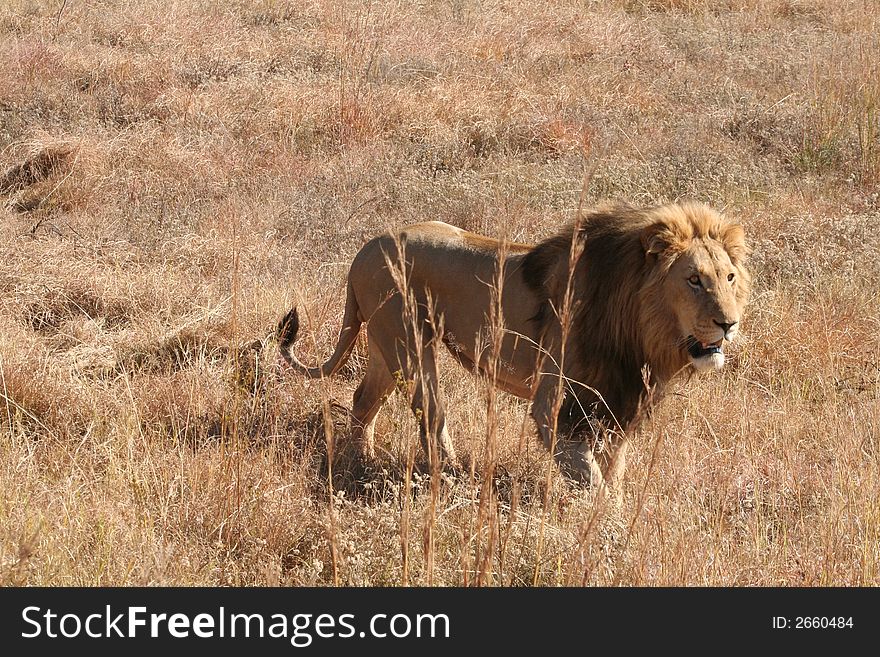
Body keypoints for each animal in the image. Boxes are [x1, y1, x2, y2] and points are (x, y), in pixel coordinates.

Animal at [280, 200, 748, 498]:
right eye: (693, 279)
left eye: (728, 277)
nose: (728, 324)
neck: (640, 329)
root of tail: (367, 247)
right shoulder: (555, 406)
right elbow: (593, 480)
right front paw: (609, 530)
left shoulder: (620, 402)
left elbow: (613, 470)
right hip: (409, 344)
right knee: (430, 414)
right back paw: (452, 477)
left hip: (384, 347)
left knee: (362, 400)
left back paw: (362, 460)